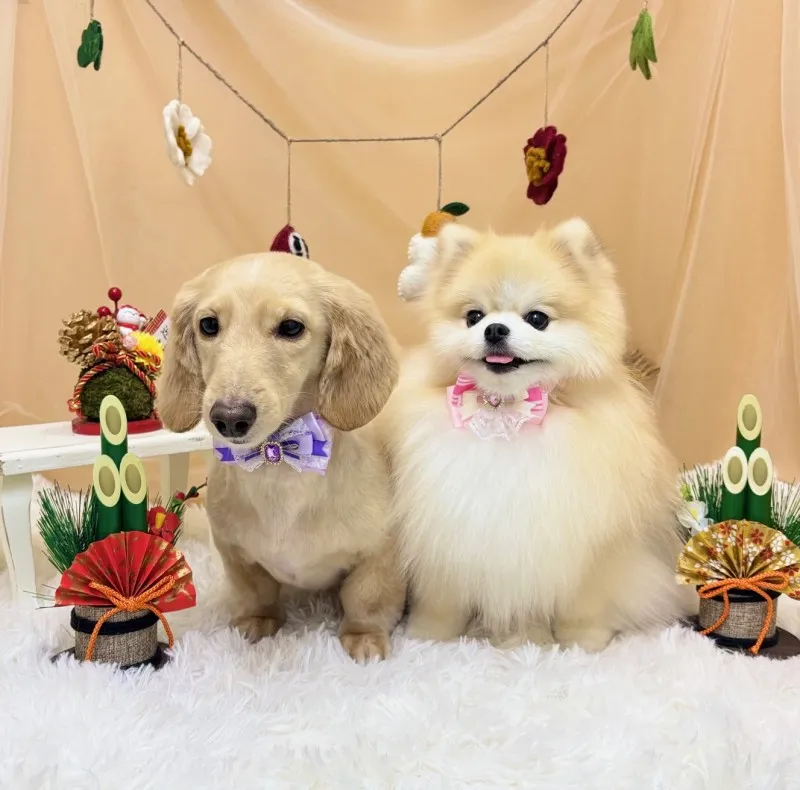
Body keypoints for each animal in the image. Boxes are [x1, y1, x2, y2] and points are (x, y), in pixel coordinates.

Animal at [157, 252, 406, 661]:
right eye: (208, 325)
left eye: (291, 327)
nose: (229, 418)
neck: (278, 463)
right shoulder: (235, 553)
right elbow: (254, 592)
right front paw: (256, 624)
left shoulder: (380, 554)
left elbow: (367, 599)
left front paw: (364, 638)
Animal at [379, 218, 691, 651]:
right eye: (473, 316)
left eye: (538, 318)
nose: (495, 329)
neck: (504, 415)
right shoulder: (448, 532)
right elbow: (443, 600)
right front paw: (429, 637)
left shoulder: (585, 547)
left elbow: (580, 605)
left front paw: (578, 644)